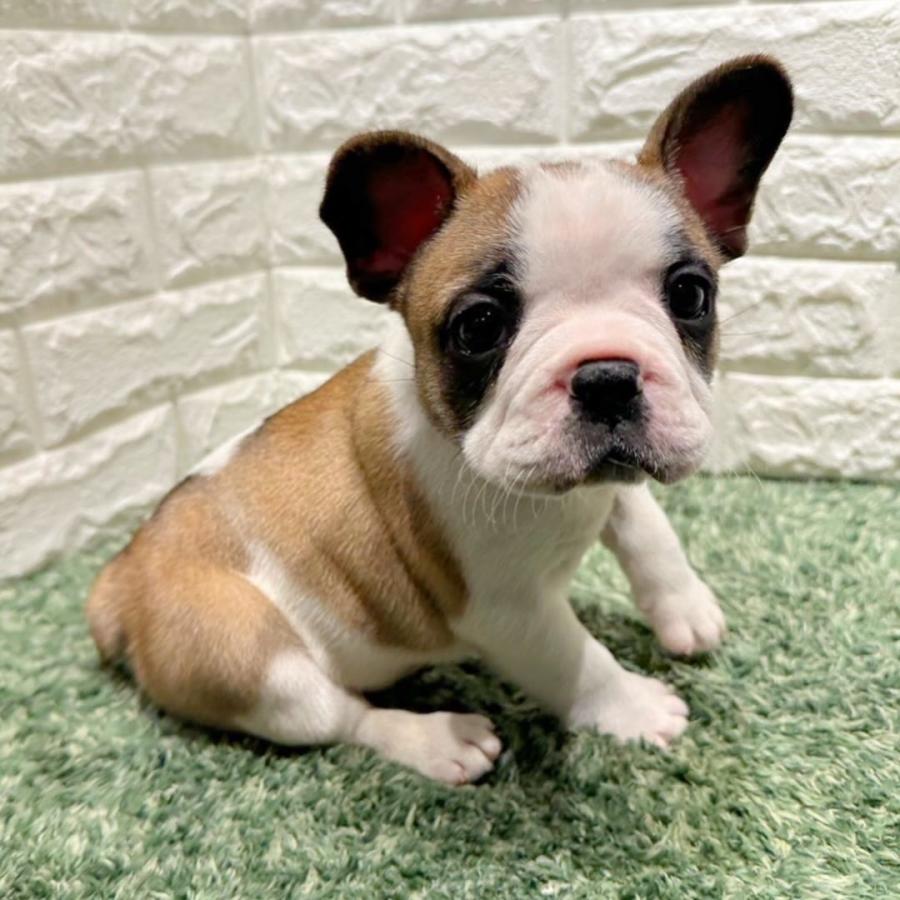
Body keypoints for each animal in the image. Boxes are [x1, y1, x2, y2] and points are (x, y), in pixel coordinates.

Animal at [86, 56, 792, 784]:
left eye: (690, 295)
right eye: (479, 327)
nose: (607, 377)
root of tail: (122, 585)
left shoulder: (612, 481)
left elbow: (647, 524)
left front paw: (686, 606)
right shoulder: (509, 612)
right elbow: (577, 661)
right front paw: (634, 707)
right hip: (257, 663)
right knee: (343, 719)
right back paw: (440, 740)